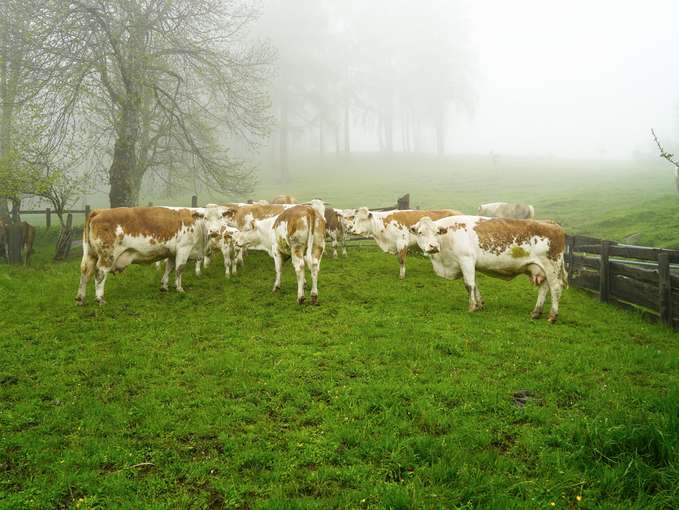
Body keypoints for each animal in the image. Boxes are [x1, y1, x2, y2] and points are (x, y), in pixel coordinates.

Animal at [73, 206, 215, 304]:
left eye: (219, 218)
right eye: (206, 218)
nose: (214, 231)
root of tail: (99, 211)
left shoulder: (172, 253)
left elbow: (169, 268)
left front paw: (164, 286)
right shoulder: (184, 248)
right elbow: (179, 269)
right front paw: (179, 289)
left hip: (91, 255)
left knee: (85, 273)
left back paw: (80, 299)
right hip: (107, 256)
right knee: (100, 273)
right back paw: (100, 299)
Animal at [410, 215, 568, 322]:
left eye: (436, 232)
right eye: (420, 232)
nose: (433, 246)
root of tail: (551, 222)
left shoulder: (466, 259)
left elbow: (469, 285)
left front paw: (472, 307)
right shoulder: (470, 264)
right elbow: (475, 285)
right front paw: (480, 304)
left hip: (552, 266)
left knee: (555, 288)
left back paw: (552, 316)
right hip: (540, 269)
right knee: (544, 288)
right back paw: (536, 312)